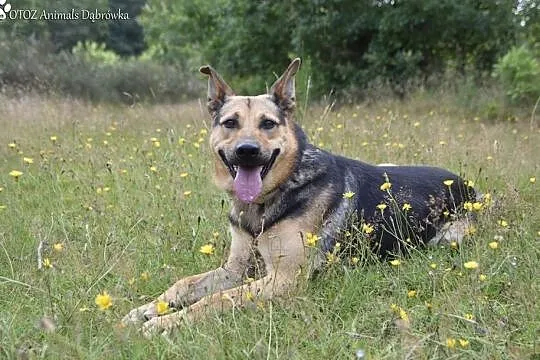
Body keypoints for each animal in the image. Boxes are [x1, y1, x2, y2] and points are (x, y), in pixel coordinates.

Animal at [123, 57, 476, 336]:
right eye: (230, 123)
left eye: (268, 124)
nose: (247, 151)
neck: (269, 199)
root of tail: (466, 183)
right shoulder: (234, 270)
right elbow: (184, 284)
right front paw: (147, 309)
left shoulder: (283, 279)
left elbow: (216, 299)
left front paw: (165, 323)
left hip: (448, 238)